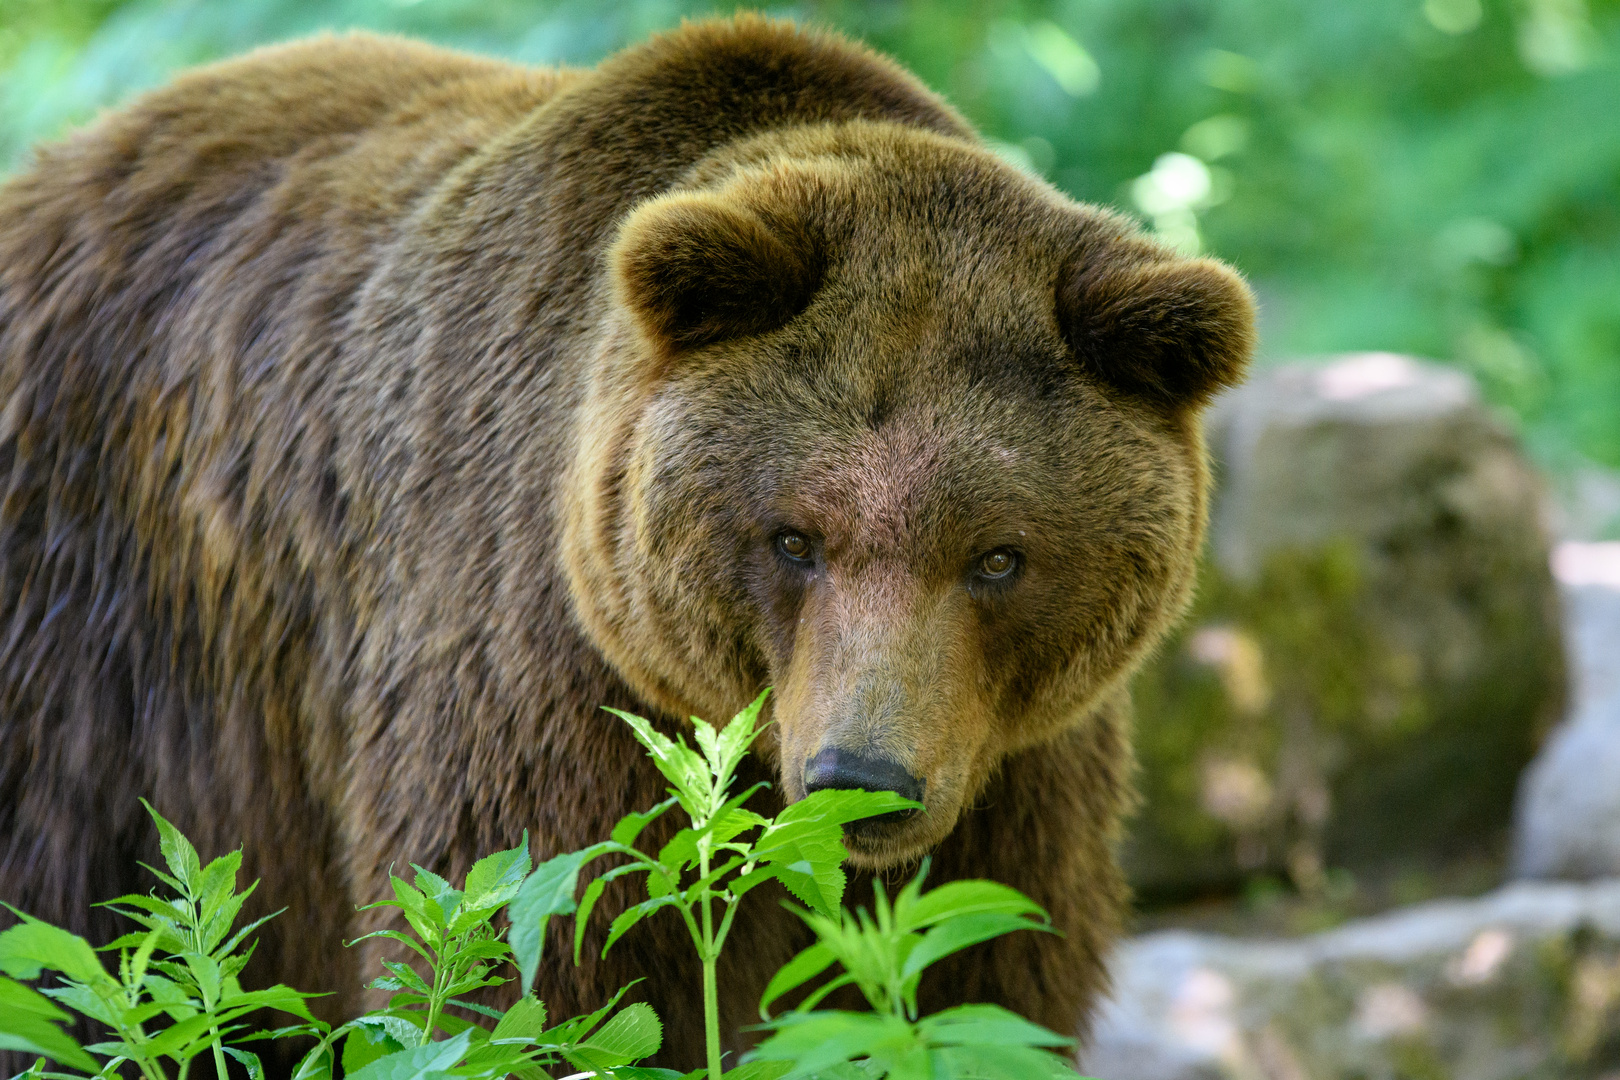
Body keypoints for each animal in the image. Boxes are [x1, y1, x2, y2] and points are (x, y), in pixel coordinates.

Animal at [0, 12, 1250, 1068]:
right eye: (795, 537)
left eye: (999, 554)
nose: (863, 781)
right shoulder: (539, 680)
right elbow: (534, 976)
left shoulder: (1014, 780)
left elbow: (979, 989)